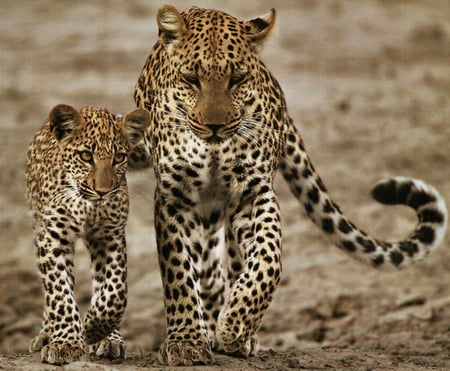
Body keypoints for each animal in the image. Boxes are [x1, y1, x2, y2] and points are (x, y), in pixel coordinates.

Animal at [26, 104, 149, 366]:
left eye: (119, 158)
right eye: (85, 156)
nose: (102, 191)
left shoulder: (109, 237)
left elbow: (115, 291)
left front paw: (93, 329)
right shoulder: (52, 238)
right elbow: (59, 293)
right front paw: (66, 343)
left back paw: (110, 339)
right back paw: (46, 334)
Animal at [133, 5, 446, 366]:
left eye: (237, 79)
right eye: (191, 79)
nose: (214, 126)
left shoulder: (253, 193)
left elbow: (268, 260)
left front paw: (235, 324)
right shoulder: (175, 198)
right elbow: (179, 273)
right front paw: (186, 341)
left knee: (231, 263)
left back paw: (236, 333)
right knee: (208, 268)